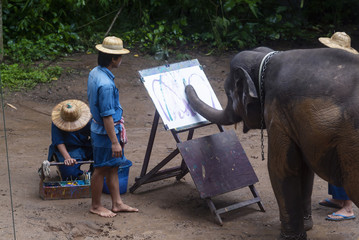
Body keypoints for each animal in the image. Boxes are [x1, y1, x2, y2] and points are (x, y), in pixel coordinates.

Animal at [186, 47, 359, 240]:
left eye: (228, 94)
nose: (187, 86)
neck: (266, 60)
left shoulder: (278, 115)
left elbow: (279, 168)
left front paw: (288, 237)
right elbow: (304, 170)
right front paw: (306, 227)